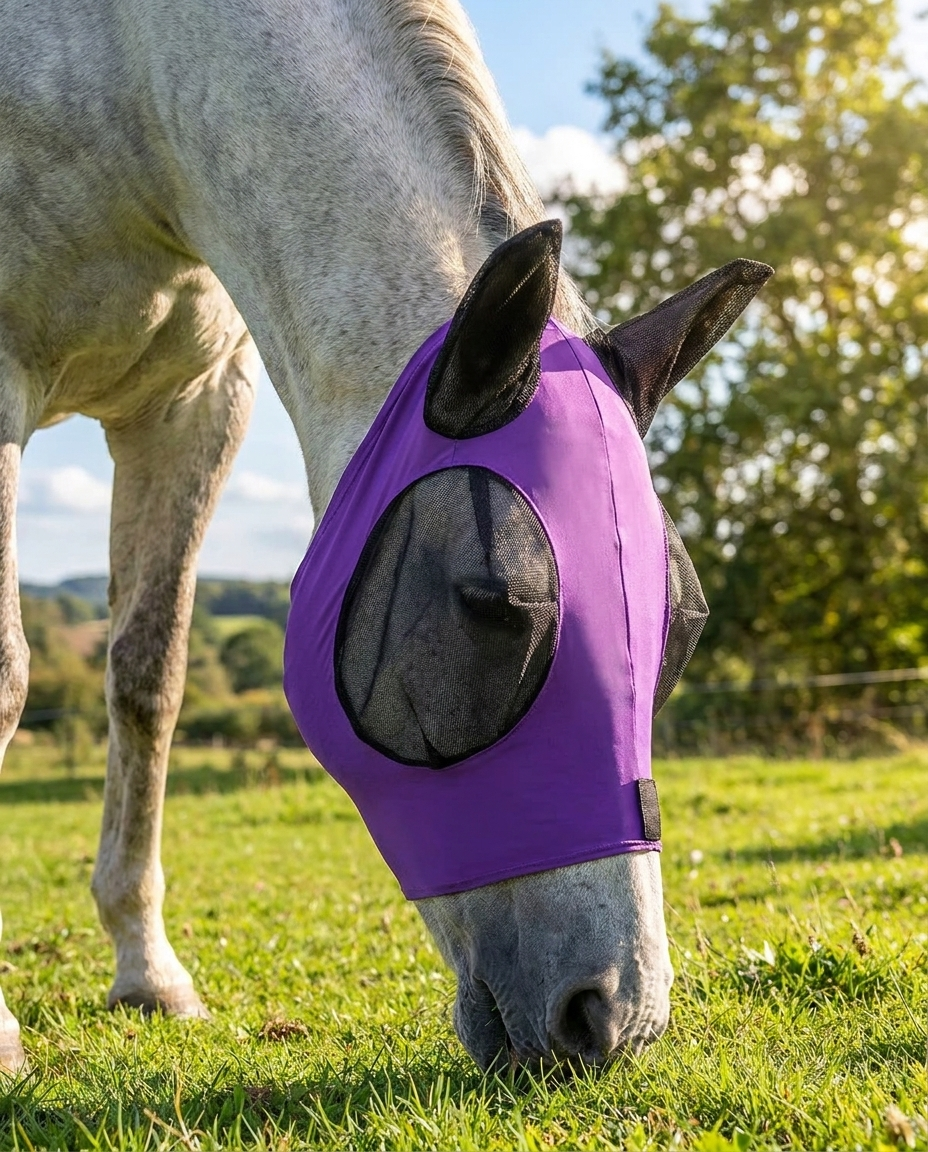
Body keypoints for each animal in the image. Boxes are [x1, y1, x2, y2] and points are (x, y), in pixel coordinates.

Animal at [0, 0, 768, 1074]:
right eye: (494, 602)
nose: (618, 1018)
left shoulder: (192, 403)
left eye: (685, 624)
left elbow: (149, 684)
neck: (134, 68)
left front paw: (148, 971)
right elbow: (9, 675)